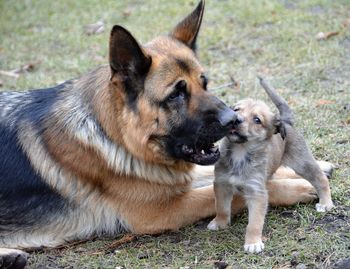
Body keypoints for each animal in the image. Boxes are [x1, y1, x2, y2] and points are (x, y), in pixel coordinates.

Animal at [208, 77, 334, 251]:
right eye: (236, 110)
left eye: (257, 120)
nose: (235, 120)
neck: (240, 153)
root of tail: (285, 122)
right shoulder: (222, 183)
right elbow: (221, 207)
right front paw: (220, 223)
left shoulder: (256, 193)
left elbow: (254, 223)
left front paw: (253, 242)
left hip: (302, 162)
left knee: (320, 179)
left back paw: (326, 203)